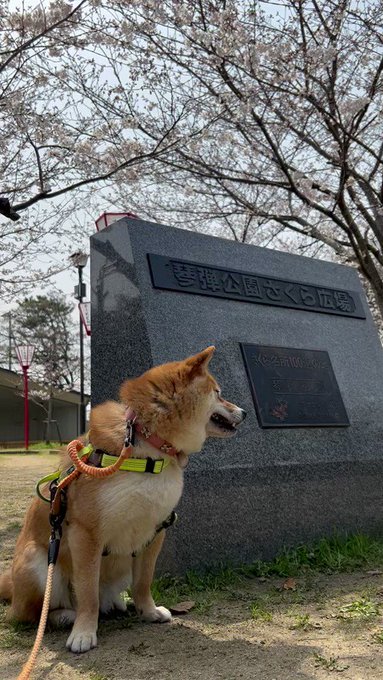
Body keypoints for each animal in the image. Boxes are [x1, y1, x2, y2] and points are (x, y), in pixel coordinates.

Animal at [0, 348, 246, 652]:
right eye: (218, 393)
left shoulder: (155, 529)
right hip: (40, 565)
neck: (149, 447)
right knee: (35, 613)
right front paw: (84, 632)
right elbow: (87, 592)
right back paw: (65, 616)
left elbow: (144, 582)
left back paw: (117, 603)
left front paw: (148, 611)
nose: (245, 412)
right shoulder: (85, 534)